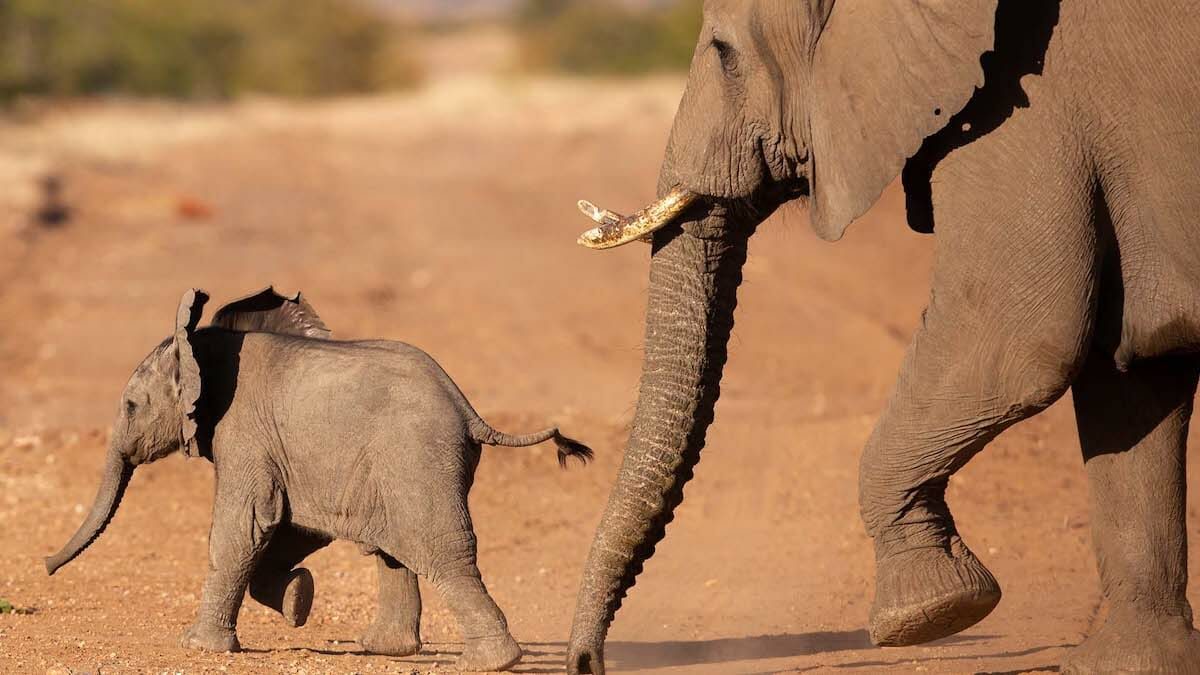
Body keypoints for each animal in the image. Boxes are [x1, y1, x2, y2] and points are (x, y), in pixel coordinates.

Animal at [45, 287, 593, 672]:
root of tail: (468, 408)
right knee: (393, 549)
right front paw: (298, 600)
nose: (46, 566)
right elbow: (288, 528)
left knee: (438, 548)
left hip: (415, 458)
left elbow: (246, 525)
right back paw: (385, 650)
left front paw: (198, 647)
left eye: (130, 406)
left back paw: (490, 663)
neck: (201, 345)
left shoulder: (243, 432)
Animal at [566, 1, 1200, 673]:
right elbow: (1126, 376)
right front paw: (1129, 663)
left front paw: (931, 612)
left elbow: (1015, 342)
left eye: (723, 53)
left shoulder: (1025, 106)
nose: (587, 663)